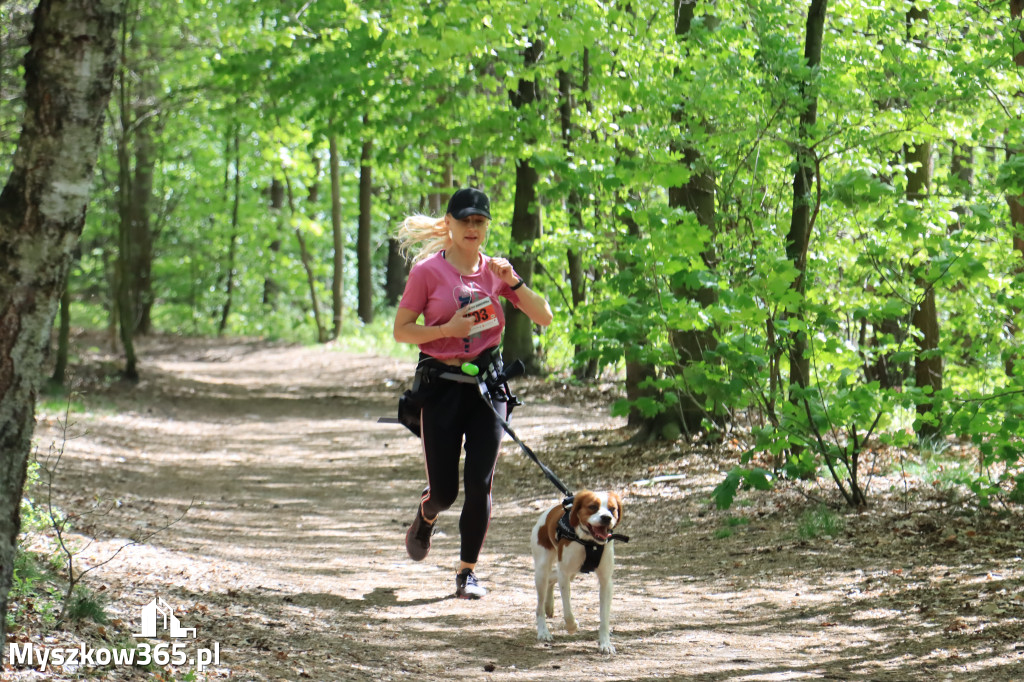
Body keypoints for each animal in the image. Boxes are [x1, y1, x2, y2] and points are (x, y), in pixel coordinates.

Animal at [536, 489, 622, 655]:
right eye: (593, 507)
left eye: (612, 509)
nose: (606, 518)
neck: (590, 542)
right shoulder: (564, 574)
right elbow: (567, 610)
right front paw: (572, 626)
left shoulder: (606, 582)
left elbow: (604, 617)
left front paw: (605, 644)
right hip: (542, 571)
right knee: (539, 606)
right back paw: (543, 631)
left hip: (573, 572)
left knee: (551, 579)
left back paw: (549, 605)